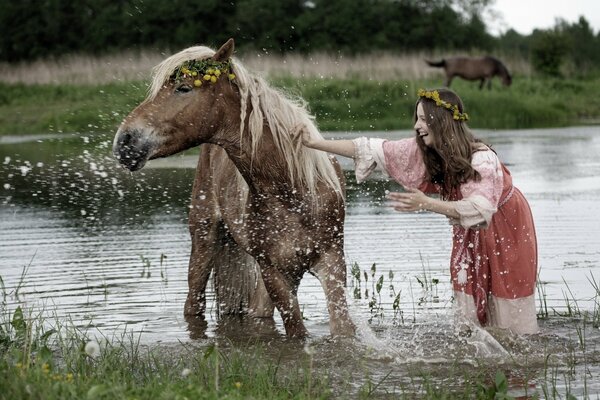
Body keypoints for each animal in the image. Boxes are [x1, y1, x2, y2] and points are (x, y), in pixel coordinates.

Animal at [111, 38, 356, 338]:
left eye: (184, 88)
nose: (124, 141)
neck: (293, 189)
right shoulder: (275, 273)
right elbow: (297, 331)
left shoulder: (331, 262)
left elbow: (342, 330)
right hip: (205, 241)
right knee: (194, 304)